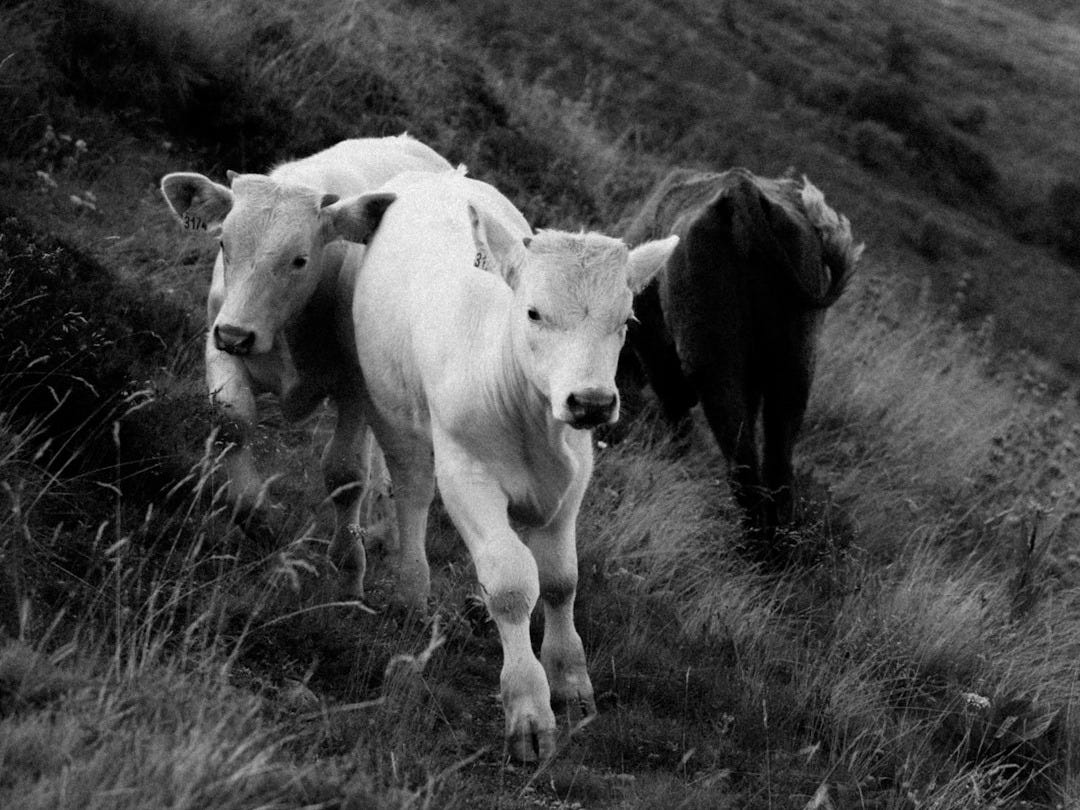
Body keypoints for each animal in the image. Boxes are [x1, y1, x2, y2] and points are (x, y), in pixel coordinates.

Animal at [159, 135, 452, 598]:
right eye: (224, 244)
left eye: (299, 259)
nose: (237, 334)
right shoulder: (218, 344)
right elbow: (232, 423)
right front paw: (254, 514)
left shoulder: (355, 385)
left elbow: (345, 473)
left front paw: (349, 571)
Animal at [335, 169, 678, 761]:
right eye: (534, 312)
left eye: (627, 319)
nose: (591, 402)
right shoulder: (467, 474)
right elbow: (514, 583)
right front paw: (529, 709)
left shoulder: (575, 476)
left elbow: (561, 579)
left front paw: (571, 681)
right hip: (392, 409)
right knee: (412, 492)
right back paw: (412, 589)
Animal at [622, 167, 863, 537]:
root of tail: (740, 189)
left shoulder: (650, 340)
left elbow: (675, 404)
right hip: (794, 363)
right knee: (777, 463)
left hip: (713, 364)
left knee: (742, 461)